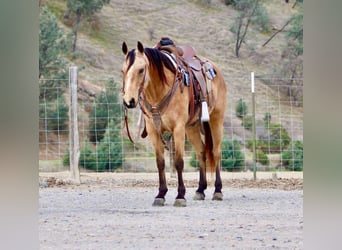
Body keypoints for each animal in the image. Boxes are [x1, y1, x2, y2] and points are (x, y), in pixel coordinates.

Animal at [121, 36, 227, 205]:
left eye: (141, 70)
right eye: (123, 70)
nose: (129, 101)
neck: (160, 90)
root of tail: (216, 70)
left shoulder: (178, 129)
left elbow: (178, 162)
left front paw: (180, 195)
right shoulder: (153, 130)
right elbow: (160, 162)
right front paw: (161, 194)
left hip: (216, 120)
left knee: (216, 152)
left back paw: (217, 190)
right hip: (191, 128)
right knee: (201, 152)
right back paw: (200, 190)